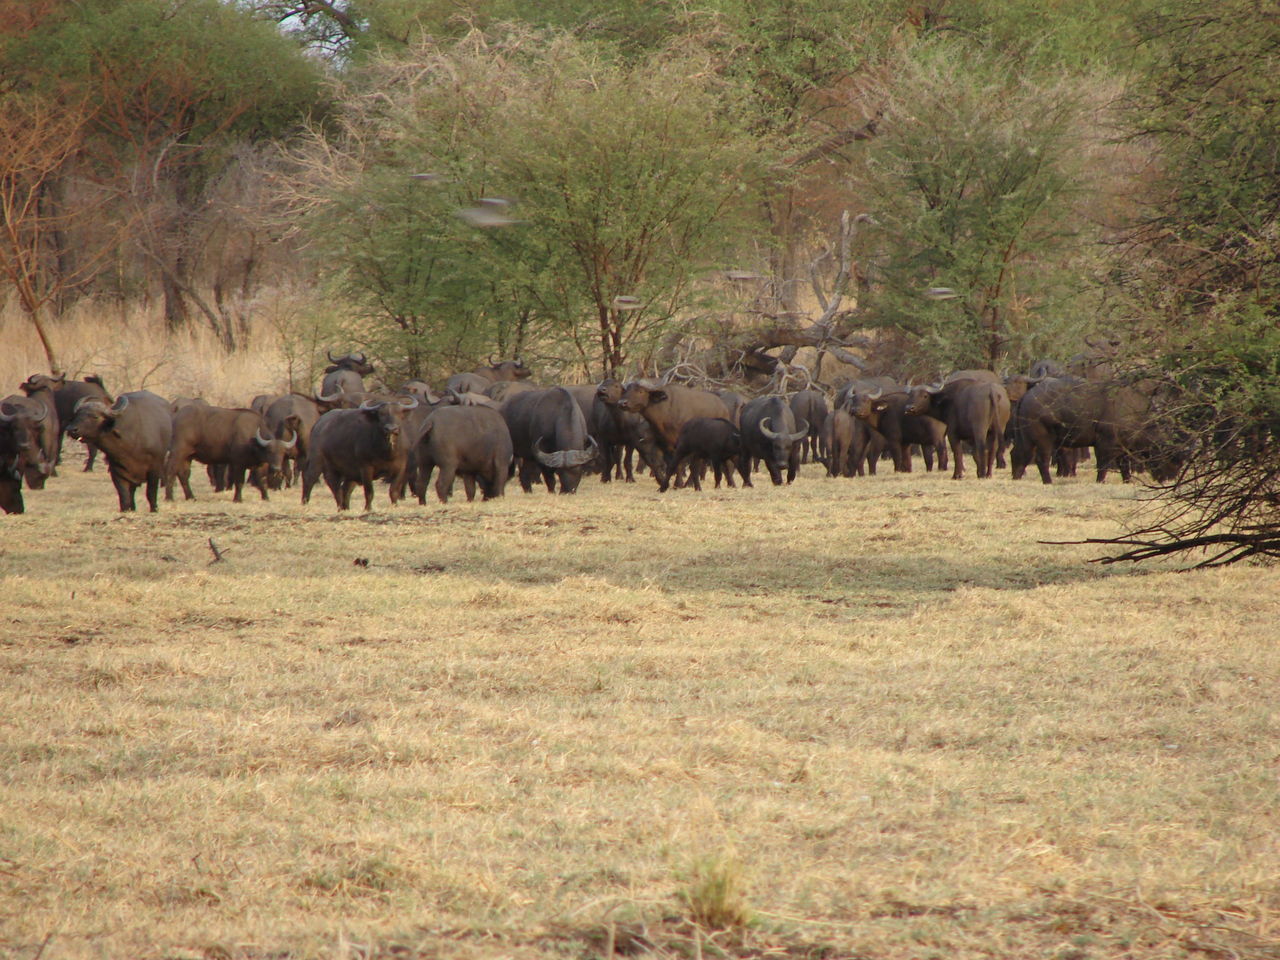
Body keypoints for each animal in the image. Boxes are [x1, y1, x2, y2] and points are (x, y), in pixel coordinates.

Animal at [165, 404, 293, 504]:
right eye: (270, 451)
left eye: (282, 453)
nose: (276, 468)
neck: (252, 440)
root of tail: (177, 416)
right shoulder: (238, 464)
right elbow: (239, 481)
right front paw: (238, 499)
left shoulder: (259, 465)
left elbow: (262, 480)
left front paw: (266, 497)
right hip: (178, 452)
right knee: (171, 471)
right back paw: (169, 498)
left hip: (188, 456)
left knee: (183, 474)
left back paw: (191, 497)